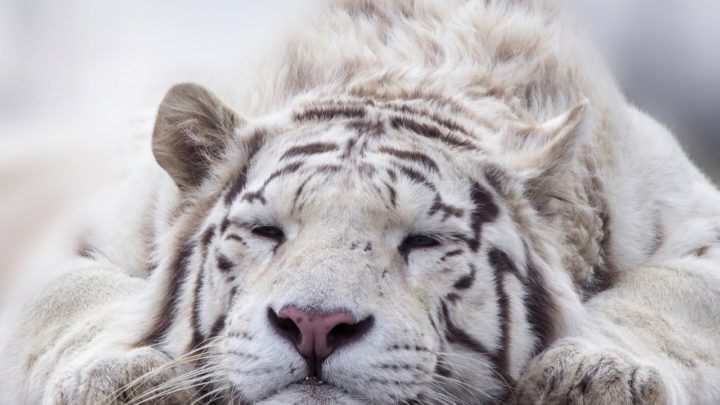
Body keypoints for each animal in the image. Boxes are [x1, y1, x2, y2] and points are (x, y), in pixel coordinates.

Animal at [2, 0, 720, 404]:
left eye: (423, 241)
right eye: (267, 232)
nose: (313, 325)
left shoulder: (696, 227)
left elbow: (664, 299)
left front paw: (597, 375)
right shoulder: (82, 235)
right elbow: (66, 301)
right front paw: (124, 381)